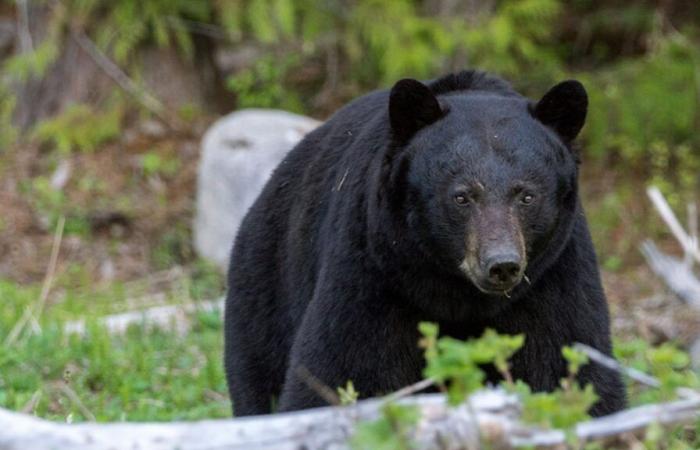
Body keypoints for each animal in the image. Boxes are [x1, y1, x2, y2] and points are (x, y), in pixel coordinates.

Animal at [223, 70, 624, 418]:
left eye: (526, 195)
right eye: (462, 196)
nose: (501, 264)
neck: (459, 296)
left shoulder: (552, 278)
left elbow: (570, 364)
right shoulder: (374, 270)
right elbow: (339, 368)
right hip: (267, 286)